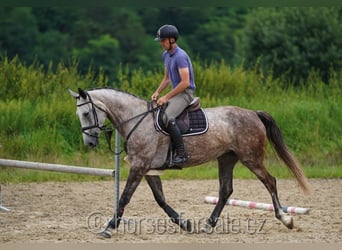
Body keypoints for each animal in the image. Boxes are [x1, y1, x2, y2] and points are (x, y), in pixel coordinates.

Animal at [68, 88, 312, 238]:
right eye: (80, 114)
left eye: (87, 113)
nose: (90, 143)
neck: (137, 119)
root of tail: (252, 113)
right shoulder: (149, 169)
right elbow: (160, 199)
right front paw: (185, 223)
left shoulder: (139, 166)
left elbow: (125, 197)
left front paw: (109, 228)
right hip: (227, 158)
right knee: (225, 190)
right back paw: (208, 225)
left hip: (250, 158)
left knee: (270, 181)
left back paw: (285, 218)